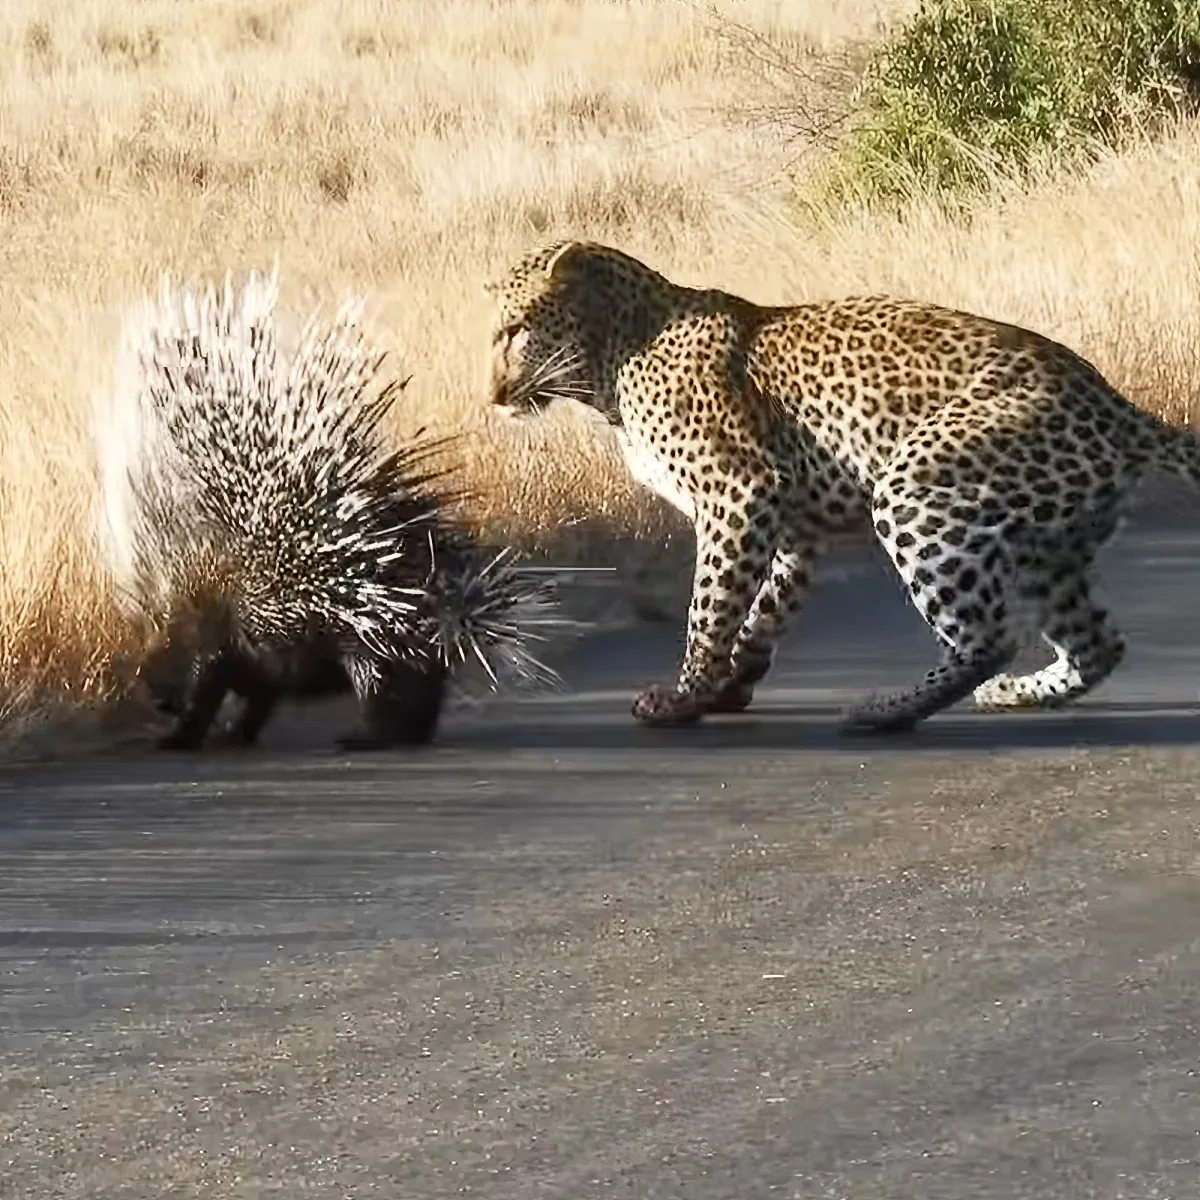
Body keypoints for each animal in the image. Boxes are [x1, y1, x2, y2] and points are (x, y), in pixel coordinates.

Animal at [484, 238, 1200, 734]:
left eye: (513, 332)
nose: (490, 395)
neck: (611, 363)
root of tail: (1114, 402)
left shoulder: (737, 492)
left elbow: (709, 607)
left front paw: (684, 696)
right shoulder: (795, 525)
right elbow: (766, 607)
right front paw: (732, 682)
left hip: (916, 491)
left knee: (989, 638)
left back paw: (885, 710)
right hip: (1049, 546)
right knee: (1097, 645)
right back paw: (1010, 694)